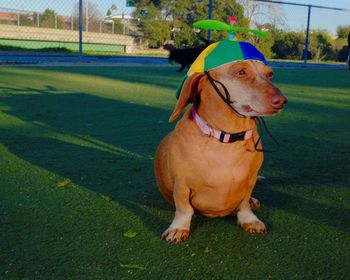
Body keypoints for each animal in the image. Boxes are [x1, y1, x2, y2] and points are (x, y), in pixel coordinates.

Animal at [155, 59, 288, 243]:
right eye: (241, 72)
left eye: (270, 74)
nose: (281, 101)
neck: (227, 137)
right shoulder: (181, 185)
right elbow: (184, 209)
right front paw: (178, 228)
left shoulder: (250, 180)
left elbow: (243, 204)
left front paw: (249, 219)